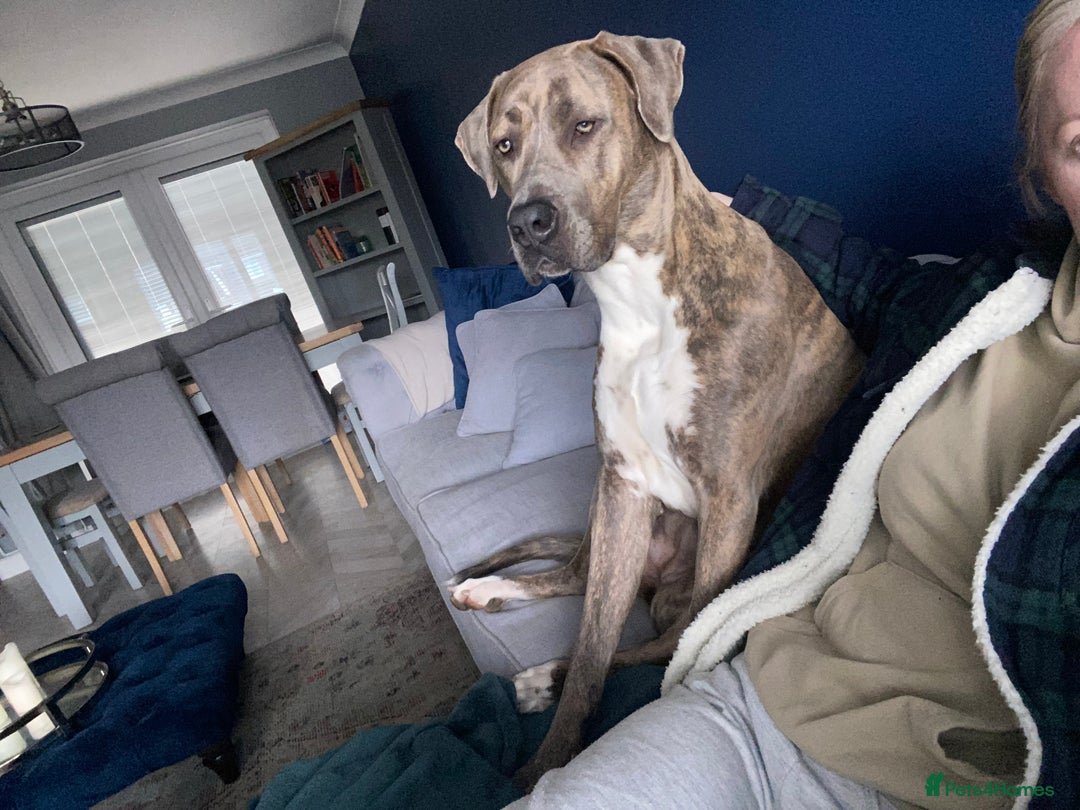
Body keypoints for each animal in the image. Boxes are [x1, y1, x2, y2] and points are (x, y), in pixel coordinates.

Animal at [450, 32, 863, 788]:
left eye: (586, 125)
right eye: (503, 145)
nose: (527, 221)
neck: (637, 297)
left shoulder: (729, 500)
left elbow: (670, 646)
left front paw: (550, 700)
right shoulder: (623, 488)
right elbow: (591, 652)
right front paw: (549, 761)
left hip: (681, 572)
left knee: (656, 634)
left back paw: (536, 672)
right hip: (608, 525)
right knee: (576, 581)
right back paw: (490, 596)